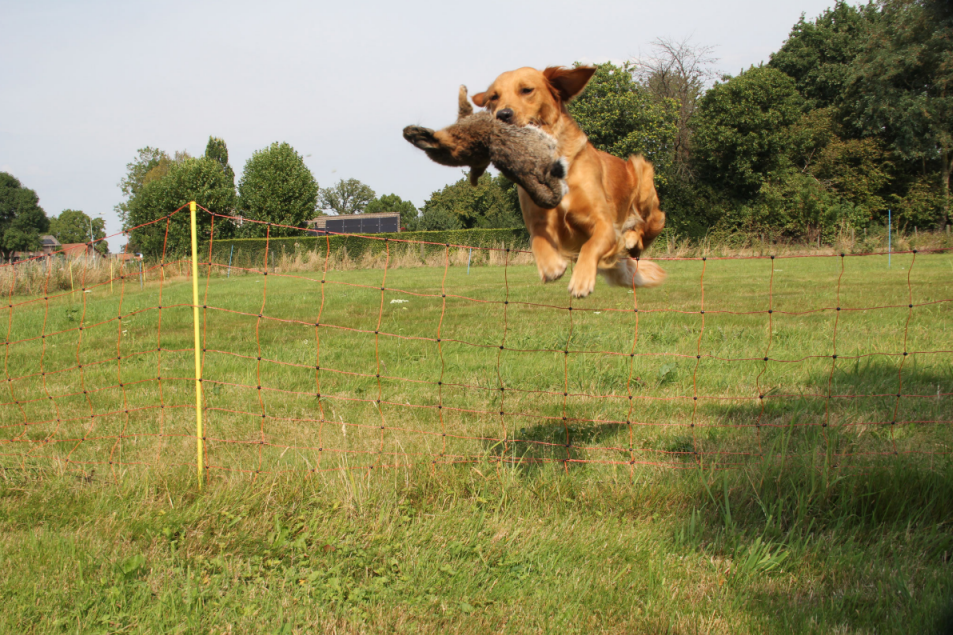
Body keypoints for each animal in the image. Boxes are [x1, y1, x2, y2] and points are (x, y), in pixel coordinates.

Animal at [466, 67, 664, 298]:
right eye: (493, 97)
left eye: (526, 90)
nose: (502, 115)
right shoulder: (538, 220)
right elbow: (537, 239)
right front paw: (551, 266)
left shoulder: (604, 222)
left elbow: (591, 245)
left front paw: (581, 280)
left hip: (642, 175)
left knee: (644, 234)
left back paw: (631, 237)